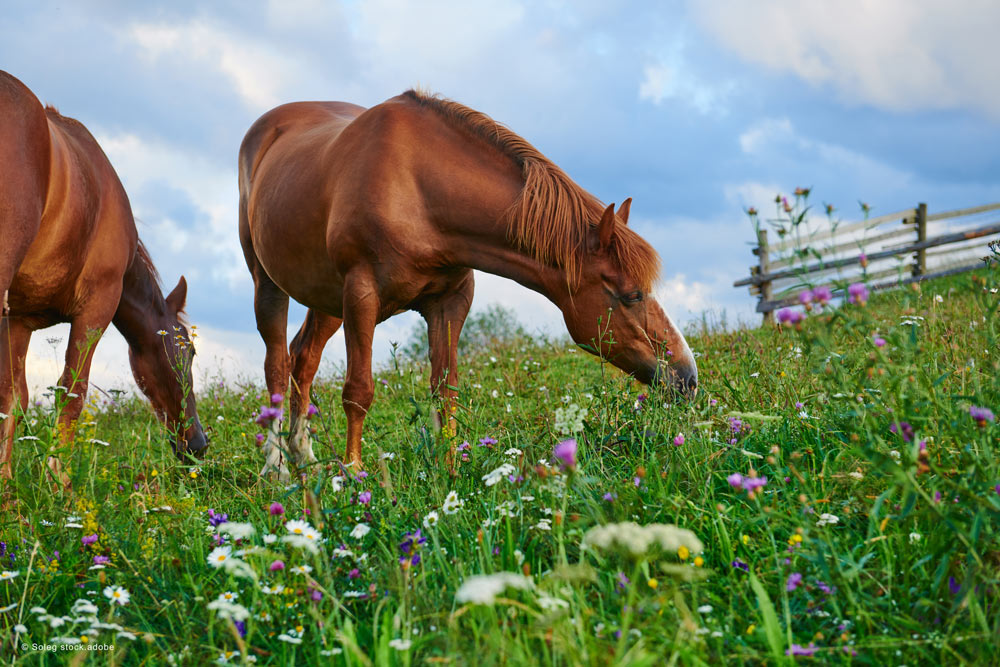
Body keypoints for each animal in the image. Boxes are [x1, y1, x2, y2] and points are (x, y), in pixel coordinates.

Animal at [0, 72, 206, 490]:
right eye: (189, 351)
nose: (199, 444)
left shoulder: (19, 319)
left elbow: (13, 398)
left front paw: (8, 489)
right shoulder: (97, 308)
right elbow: (71, 394)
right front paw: (59, 484)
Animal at [241, 88, 696, 478]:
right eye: (631, 295)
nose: (687, 378)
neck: (417, 188)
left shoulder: (450, 301)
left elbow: (446, 389)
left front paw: (450, 472)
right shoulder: (361, 295)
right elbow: (358, 391)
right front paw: (353, 477)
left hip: (326, 300)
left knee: (303, 359)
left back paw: (303, 456)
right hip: (272, 285)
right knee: (277, 366)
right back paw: (276, 467)